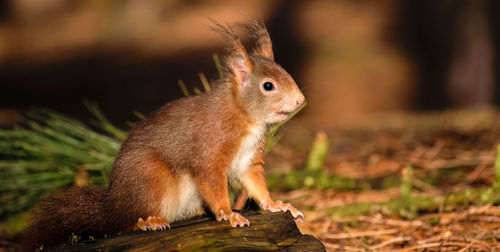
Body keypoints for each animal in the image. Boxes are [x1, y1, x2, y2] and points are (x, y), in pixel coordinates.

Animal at [22, 20, 304, 252]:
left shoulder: (249, 158)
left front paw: (276, 204)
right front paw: (229, 213)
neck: (244, 117)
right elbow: (214, 184)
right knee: (122, 224)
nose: (301, 100)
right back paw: (148, 222)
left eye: (286, 72)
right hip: (151, 177)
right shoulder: (209, 151)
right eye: (268, 86)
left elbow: (255, 184)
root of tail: (112, 206)